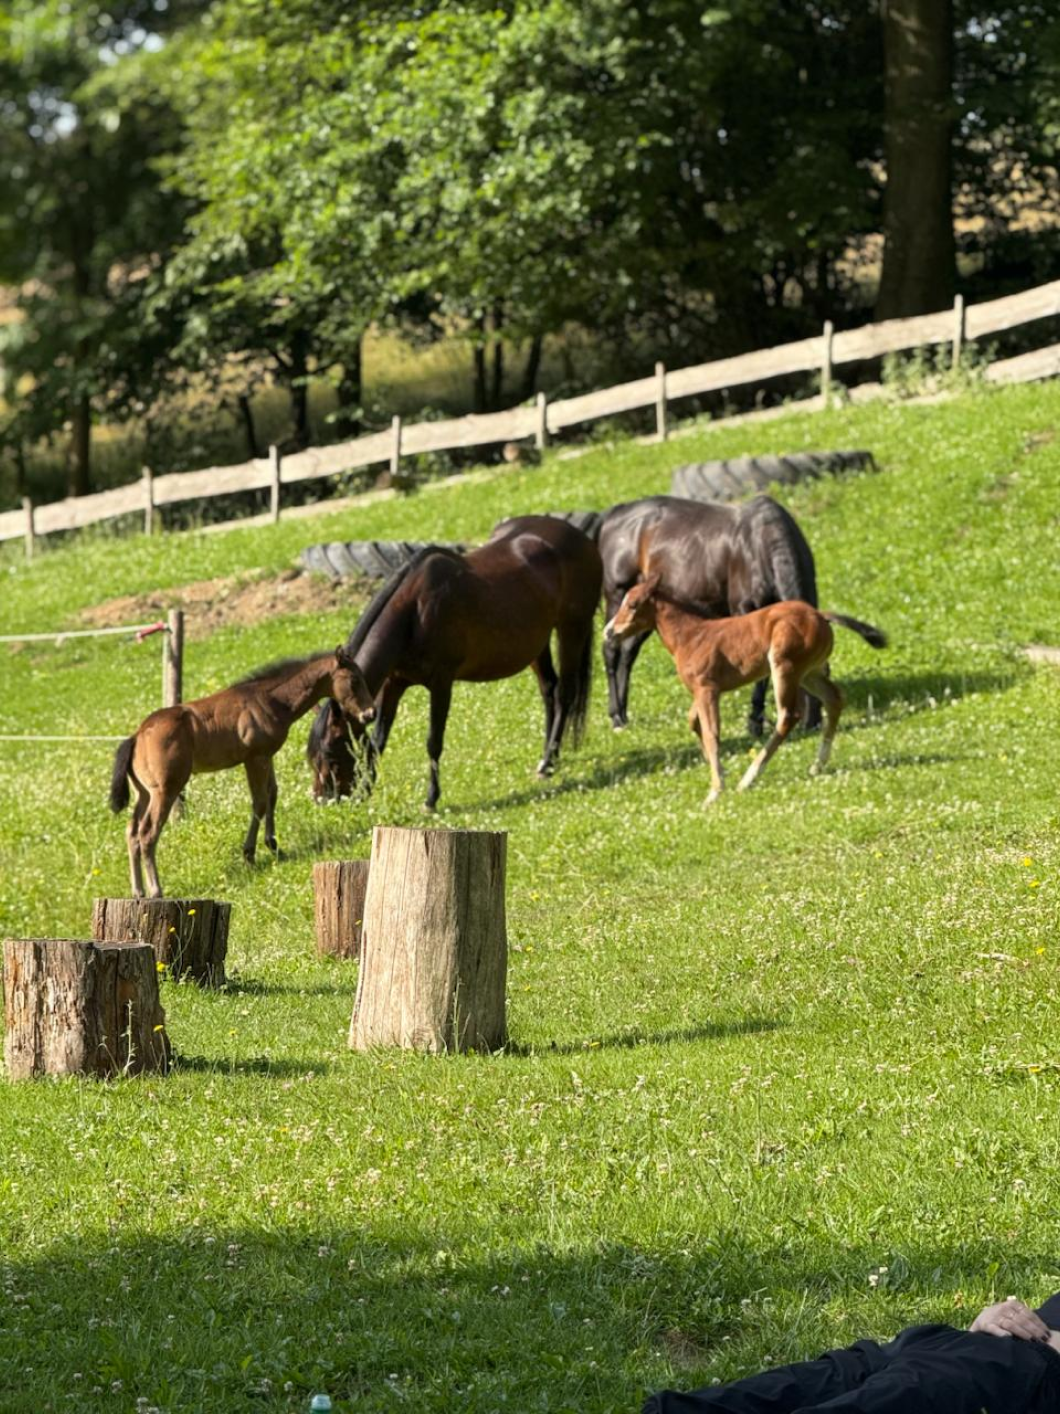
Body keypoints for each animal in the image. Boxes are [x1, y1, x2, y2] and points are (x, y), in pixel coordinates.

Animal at [110, 650, 376, 898]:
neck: (269, 700)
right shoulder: (254, 759)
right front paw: (249, 854)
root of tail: (136, 736)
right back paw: (156, 890)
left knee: (131, 832)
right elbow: (259, 802)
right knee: (147, 834)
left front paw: (274, 846)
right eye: (354, 680)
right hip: (165, 790)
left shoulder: (266, 756)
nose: (370, 713)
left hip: (144, 793)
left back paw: (138, 891)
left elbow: (272, 794)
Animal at [345, 515, 602, 811]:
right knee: (549, 690)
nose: (326, 797)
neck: (415, 612)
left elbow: (433, 742)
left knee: (565, 694)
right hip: (539, 642)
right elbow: (377, 742)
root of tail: (583, 537)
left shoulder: (441, 684)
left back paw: (549, 761)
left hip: (572, 629)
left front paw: (431, 798)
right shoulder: (394, 683)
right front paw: (366, 790)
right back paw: (548, 757)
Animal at [596, 494, 819, 736]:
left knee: (628, 653)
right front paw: (754, 722)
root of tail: (613, 516)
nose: (813, 723)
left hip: (643, 614)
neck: (762, 546)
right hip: (618, 598)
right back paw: (616, 716)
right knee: (611, 651)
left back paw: (623, 712)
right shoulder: (746, 612)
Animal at [603, 576, 886, 803]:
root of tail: (820, 615)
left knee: (789, 715)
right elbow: (693, 721)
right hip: (810, 673)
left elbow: (711, 733)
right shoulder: (705, 690)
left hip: (784, 665)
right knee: (834, 699)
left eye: (632, 604)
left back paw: (749, 779)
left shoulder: (706, 689)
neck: (691, 636)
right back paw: (817, 765)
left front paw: (716, 790)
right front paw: (719, 771)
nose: (608, 632)